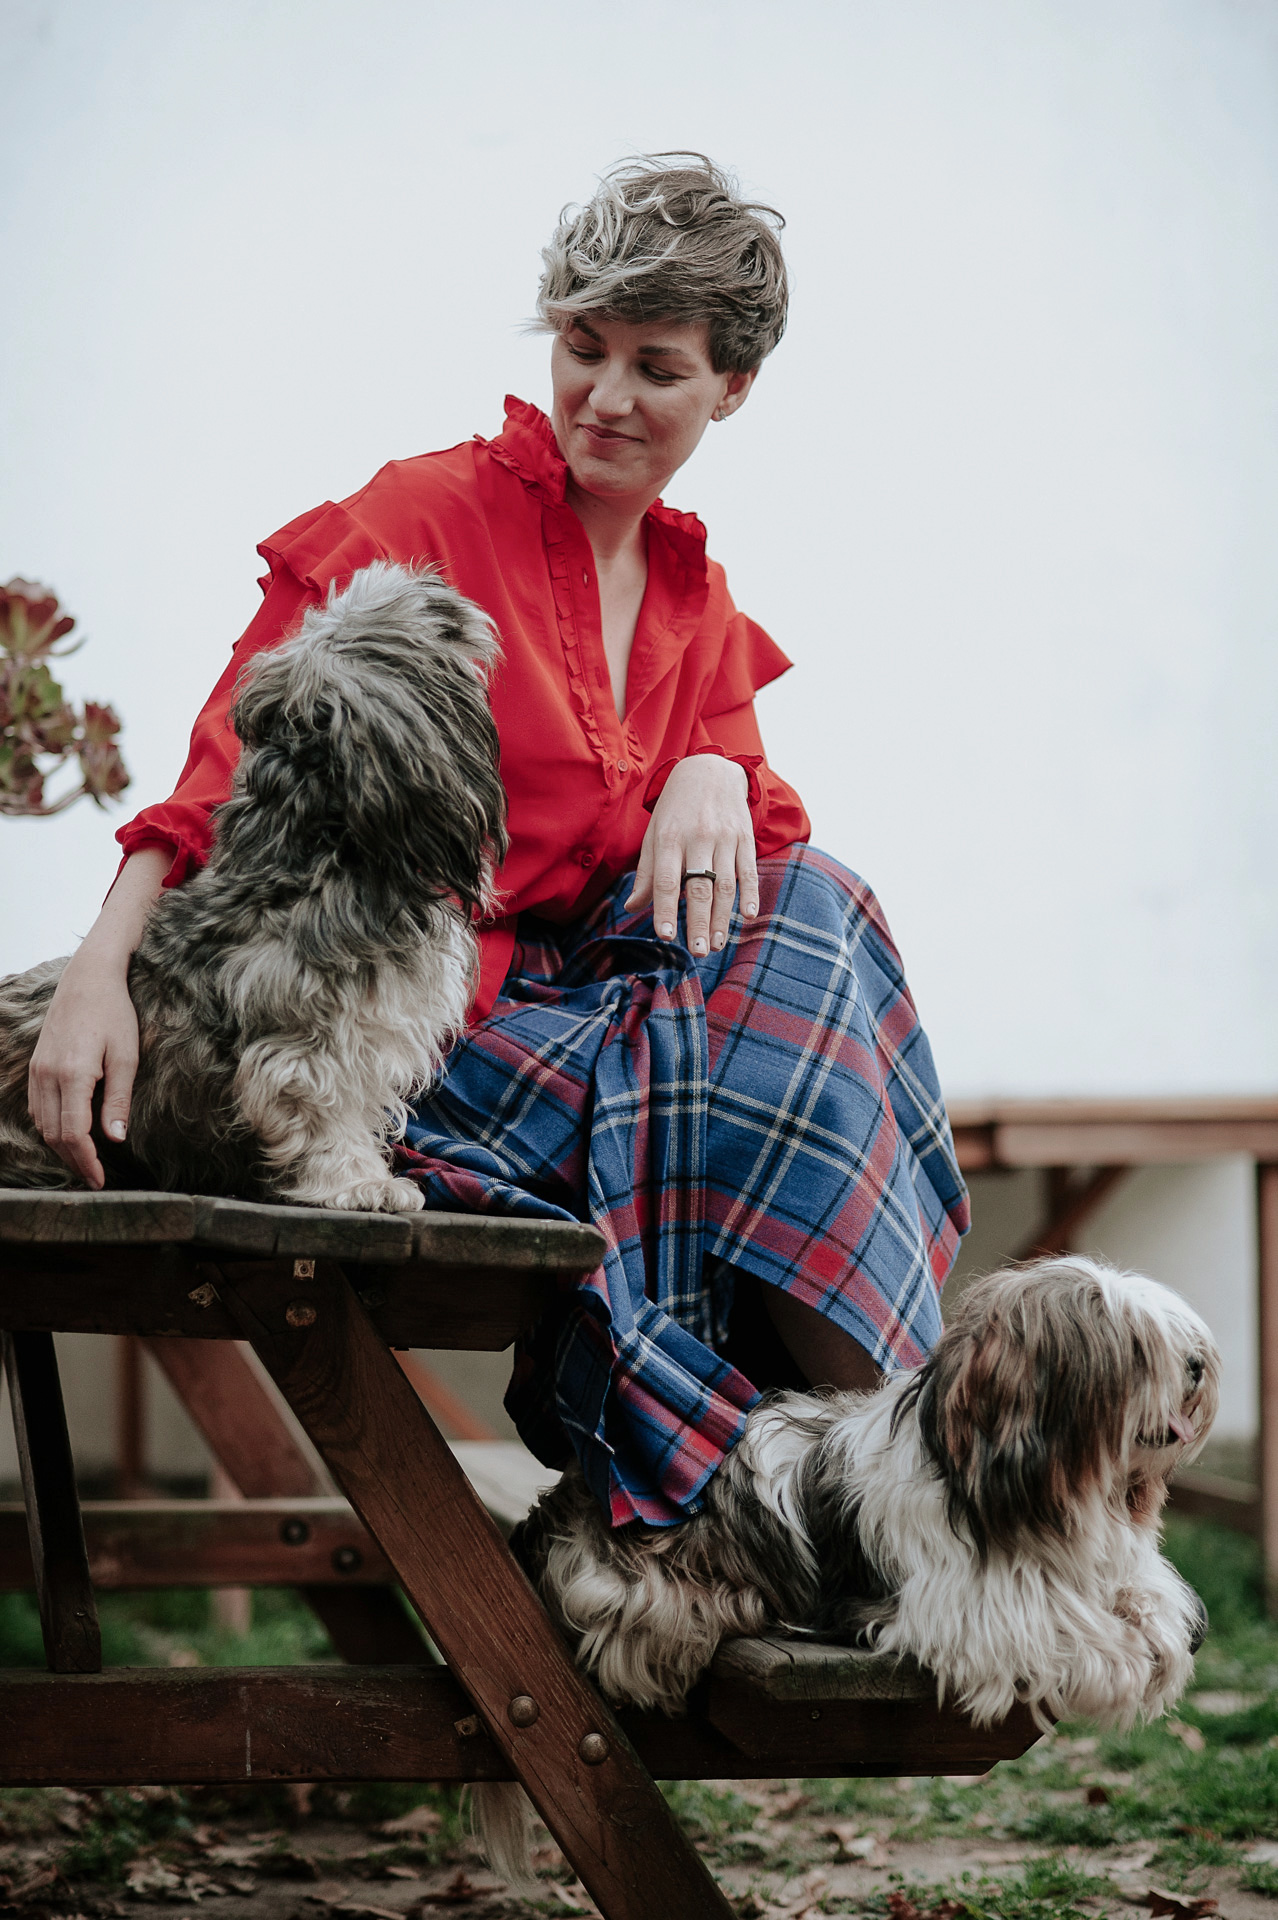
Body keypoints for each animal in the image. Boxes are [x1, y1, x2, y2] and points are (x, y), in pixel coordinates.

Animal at [0, 561, 507, 1211]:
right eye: (413, 615)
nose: (447, 592)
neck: (315, 850)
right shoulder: (306, 1048)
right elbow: (325, 1113)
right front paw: (360, 1182)